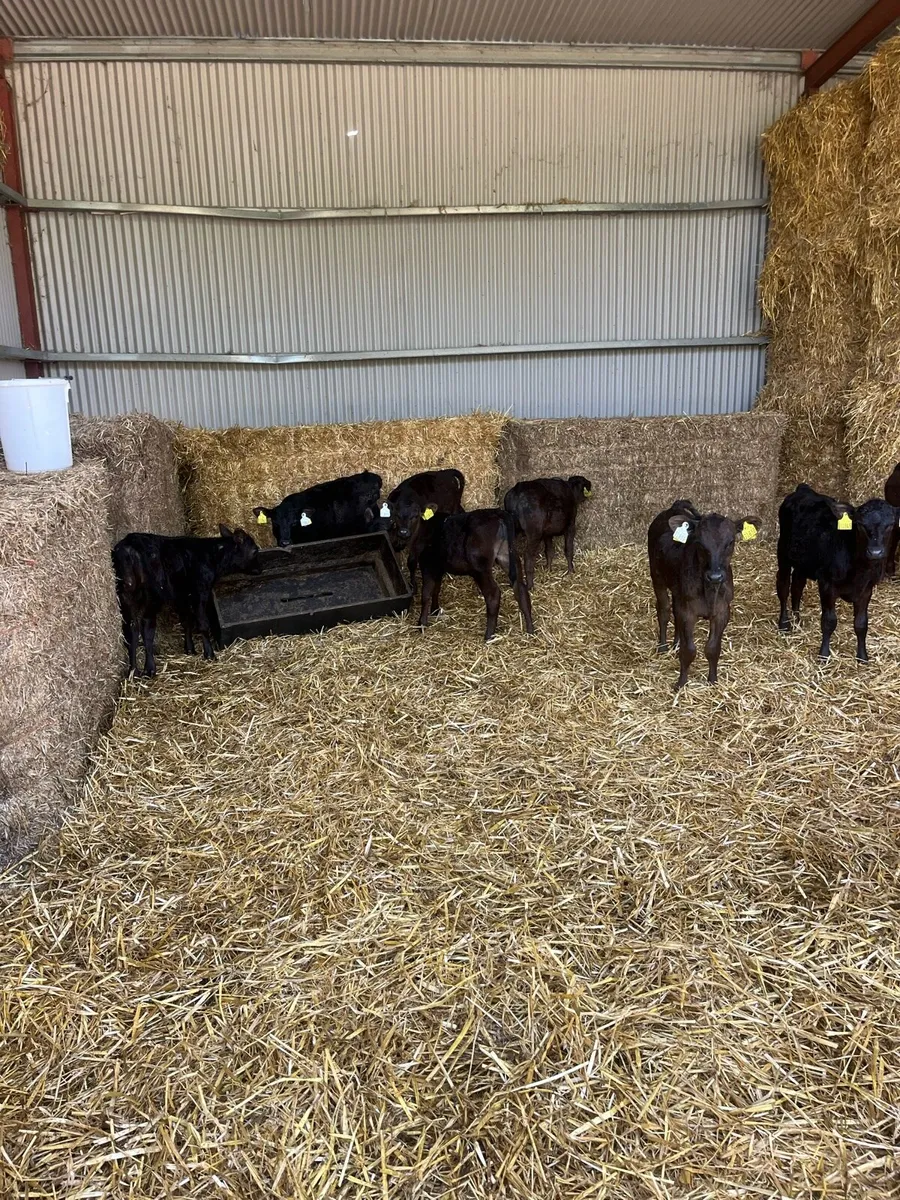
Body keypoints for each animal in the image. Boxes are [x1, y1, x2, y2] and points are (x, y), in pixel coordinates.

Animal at [113, 525, 262, 677]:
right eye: (255, 550)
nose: (260, 569)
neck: (213, 557)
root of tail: (129, 547)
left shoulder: (183, 596)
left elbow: (186, 621)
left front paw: (189, 649)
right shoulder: (200, 592)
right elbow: (203, 624)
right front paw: (209, 654)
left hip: (126, 594)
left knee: (131, 630)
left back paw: (133, 671)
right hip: (152, 594)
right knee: (147, 628)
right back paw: (150, 668)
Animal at [413, 508, 535, 641]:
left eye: (413, 515)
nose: (404, 532)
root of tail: (498, 513)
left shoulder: (427, 565)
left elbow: (426, 594)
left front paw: (421, 624)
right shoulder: (438, 568)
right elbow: (436, 589)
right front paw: (435, 611)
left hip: (480, 568)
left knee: (493, 594)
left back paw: (489, 635)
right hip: (507, 556)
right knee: (520, 588)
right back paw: (530, 630)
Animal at [648, 500, 758, 690]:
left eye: (730, 542)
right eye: (699, 543)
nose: (715, 576)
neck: (710, 592)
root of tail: (674, 508)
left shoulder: (722, 611)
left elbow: (713, 648)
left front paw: (712, 680)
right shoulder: (688, 612)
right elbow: (689, 650)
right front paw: (681, 683)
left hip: (678, 592)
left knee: (674, 611)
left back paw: (676, 643)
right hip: (657, 577)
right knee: (664, 610)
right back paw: (663, 647)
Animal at [776, 483, 899, 661]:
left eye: (890, 525)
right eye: (860, 524)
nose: (875, 552)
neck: (860, 571)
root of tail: (804, 489)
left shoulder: (866, 590)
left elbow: (861, 623)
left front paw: (862, 656)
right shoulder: (827, 585)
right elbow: (829, 621)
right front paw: (824, 655)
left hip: (803, 562)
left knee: (797, 586)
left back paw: (797, 620)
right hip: (783, 553)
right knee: (784, 587)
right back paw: (784, 623)